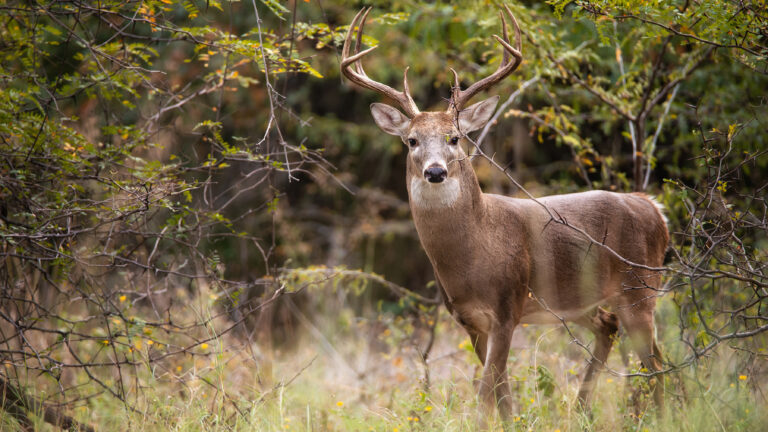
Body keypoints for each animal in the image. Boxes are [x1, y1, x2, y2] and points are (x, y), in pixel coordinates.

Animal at [341, 5, 668, 422]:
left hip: (640, 287)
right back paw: (583, 408)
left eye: (455, 137)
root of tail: (654, 208)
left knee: (655, 363)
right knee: (616, 332)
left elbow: (486, 392)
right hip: (580, 298)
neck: (475, 251)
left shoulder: (507, 306)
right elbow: (501, 392)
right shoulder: (469, 319)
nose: (435, 171)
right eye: (412, 140)